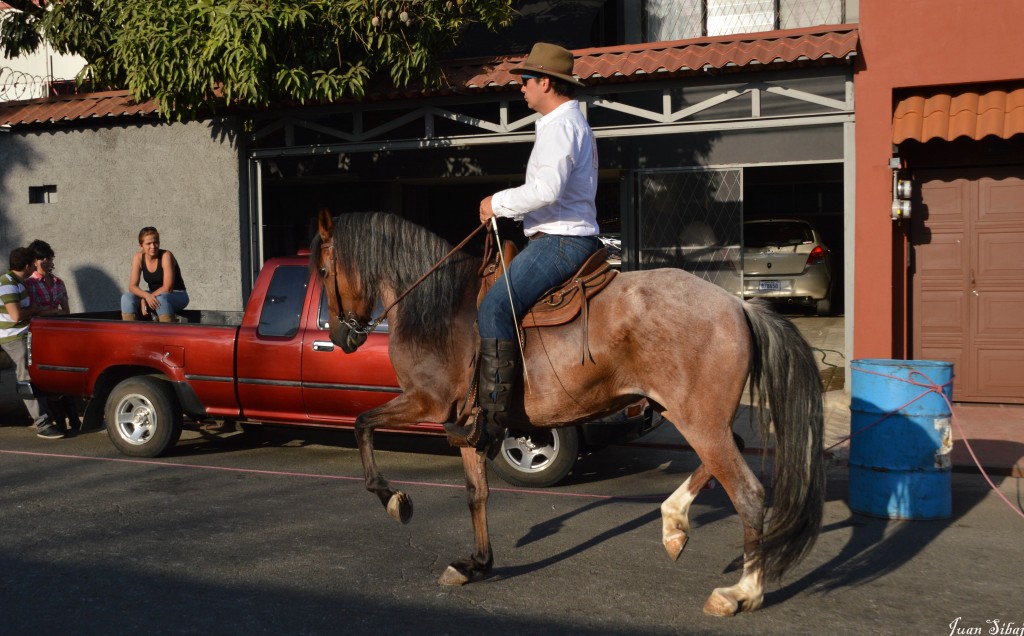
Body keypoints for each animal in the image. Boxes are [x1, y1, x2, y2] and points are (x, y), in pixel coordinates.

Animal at [311, 209, 823, 614]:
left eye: (323, 268)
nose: (340, 336)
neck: (436, 308)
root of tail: (737, 305)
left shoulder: (427, 403)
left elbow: (362, 426)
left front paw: (393, 498)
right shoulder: (467, 423)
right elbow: (477, 493)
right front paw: (476, 564)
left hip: (699, 420)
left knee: (748, 493)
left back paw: (741, 593)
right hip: (696, 416)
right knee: (726, 456)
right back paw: (674, 523)